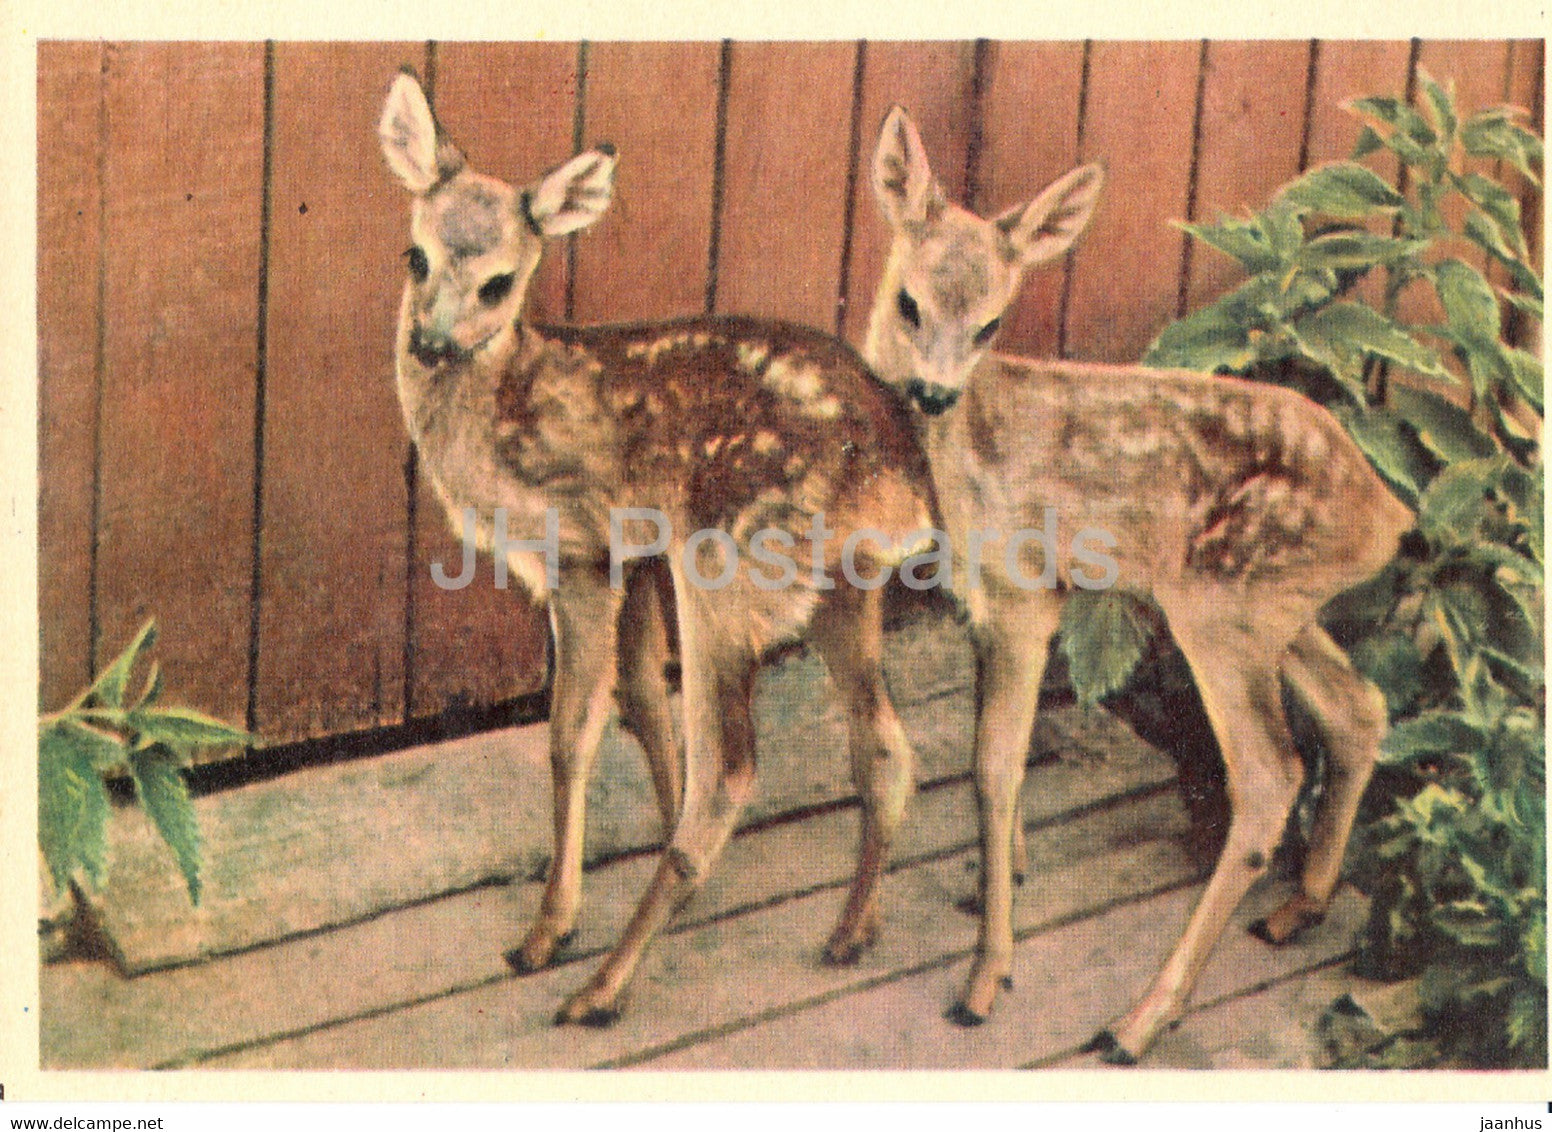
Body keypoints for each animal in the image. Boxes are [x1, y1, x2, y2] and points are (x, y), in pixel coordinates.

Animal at [378, 71, 939, 1024]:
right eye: (415, 258)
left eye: (498, 283)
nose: (431, 341)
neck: (502, 410)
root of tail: (905, 477)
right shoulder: (636, 554)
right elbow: (642, 702)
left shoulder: (576, 550)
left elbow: (571, 735)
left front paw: (547, 930)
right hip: (840, 586)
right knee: (886, 748)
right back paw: (850, 930)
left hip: (729, 563)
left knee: (735, 773)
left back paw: (598, 989)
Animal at [860, 106, 1413, 1063]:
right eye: (909, 302)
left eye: (992, 324)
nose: (931, 392)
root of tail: (1391, 513)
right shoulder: (979, 606)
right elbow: (992, 757)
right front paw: (996, 880)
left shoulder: (1024, 591)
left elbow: (992, 766)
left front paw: (986, 978)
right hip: (1272, 608)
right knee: (1358, 705)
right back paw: (1298, 911)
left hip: (1218, 603)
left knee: (1270, 771)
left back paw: (1140, 1019)